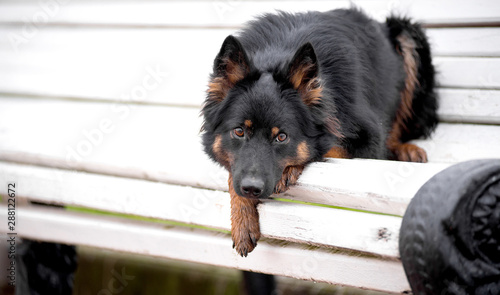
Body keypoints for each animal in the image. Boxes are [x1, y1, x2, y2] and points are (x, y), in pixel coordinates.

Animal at [201, 6, 436, 256]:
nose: (252, 189)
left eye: (281, 137)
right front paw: (242, 221)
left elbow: (326, 147)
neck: (279, 53)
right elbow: (233, 173)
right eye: (239, 132)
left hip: (407, 34)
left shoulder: (370, 140)